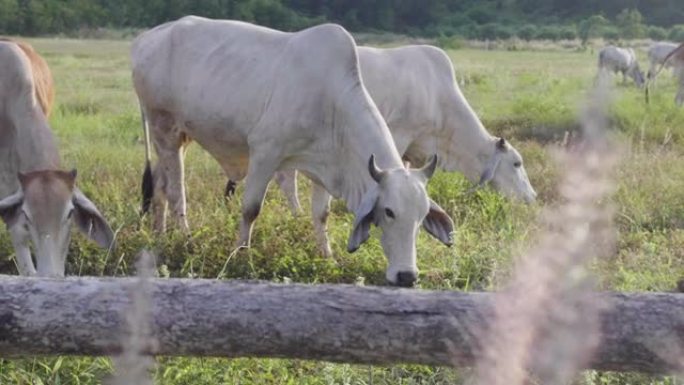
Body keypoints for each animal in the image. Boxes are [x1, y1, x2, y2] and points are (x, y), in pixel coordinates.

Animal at [133, 16, 454, 284]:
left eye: (422, 216)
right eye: (388, 212)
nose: (407, 276)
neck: (330, 100)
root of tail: (149, 37)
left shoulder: (326, 167)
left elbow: (321, 214)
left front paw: (328, 257)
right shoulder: (265, 153)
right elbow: (251, 209)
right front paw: (241, 256)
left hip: (179, 136)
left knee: (160, 187)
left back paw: (158, 236)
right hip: (164, 129)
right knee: (176, 191)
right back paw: (185, 239)